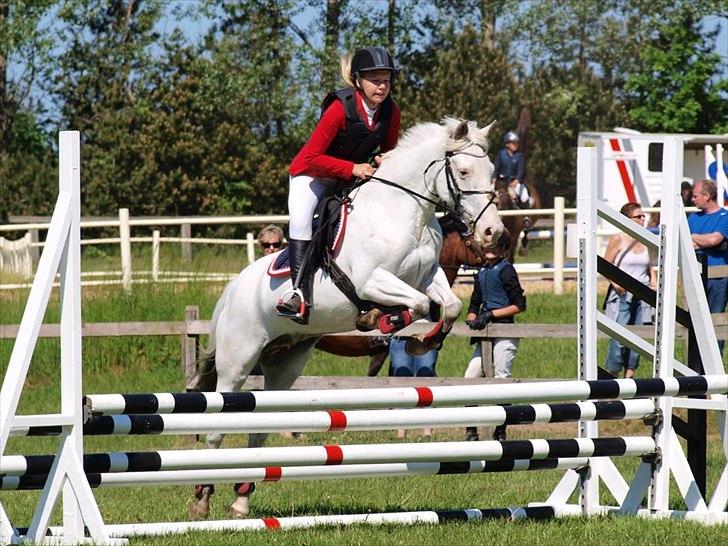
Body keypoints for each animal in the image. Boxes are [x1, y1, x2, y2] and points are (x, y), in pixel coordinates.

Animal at [189, 118, 504, 519]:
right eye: (463, 172)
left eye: (492, 171)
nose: (495, 234)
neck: (405, 211)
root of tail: (231, 290)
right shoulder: (373, 279)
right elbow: (417, 305)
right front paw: (381, 320)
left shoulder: (427, 275)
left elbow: (446, 306)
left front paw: (424, 340)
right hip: (239, 359)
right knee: (217, 420)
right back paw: (202, 496)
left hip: (284, 363)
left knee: (261, 425)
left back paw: (242, 499)